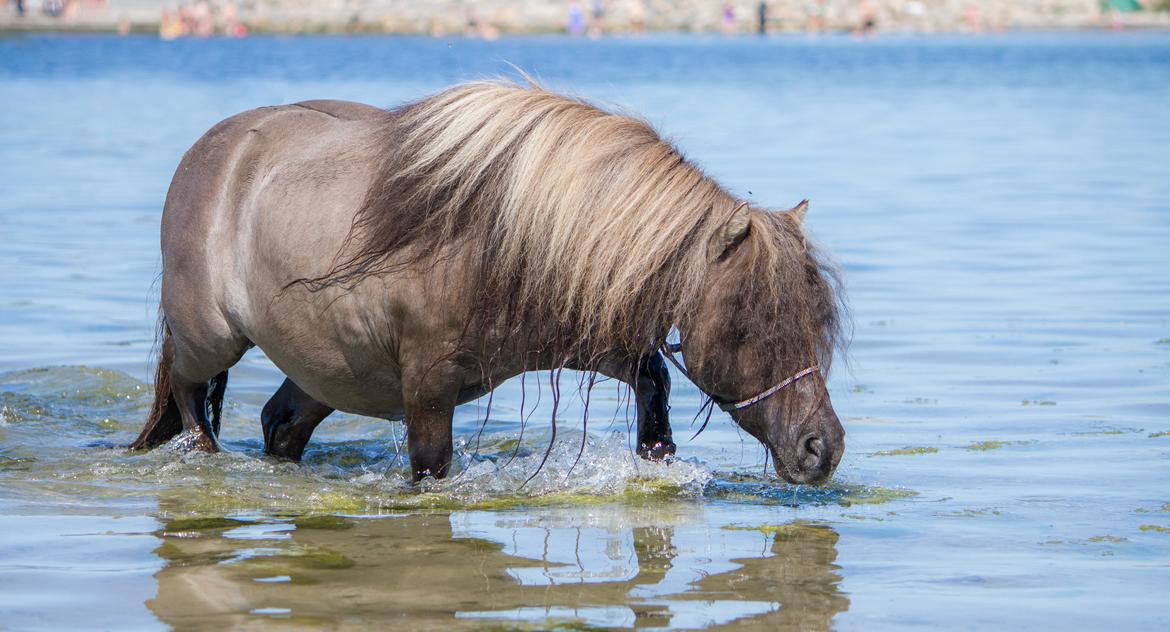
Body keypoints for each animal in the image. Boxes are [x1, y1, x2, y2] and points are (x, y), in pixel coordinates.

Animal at [128, 80, 847, 484]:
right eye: (748, 325)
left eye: (816, 322)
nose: (824, 448)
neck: (507, 237)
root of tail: (214, 151)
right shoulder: (426, 391)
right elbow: (431, 469)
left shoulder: (580, 332)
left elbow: (652, 376)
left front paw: (655, 453)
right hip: (210, 340)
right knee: (189, 397)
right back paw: (202, 455)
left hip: (327, 367)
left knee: (281, 422)